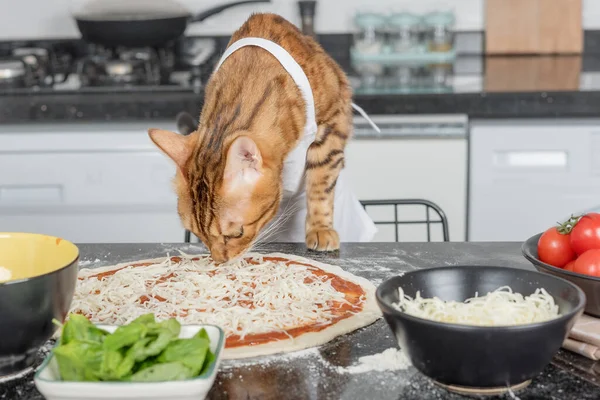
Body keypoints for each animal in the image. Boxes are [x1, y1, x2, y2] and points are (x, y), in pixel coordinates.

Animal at [149, 13, 376, 262]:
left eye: (236, 234)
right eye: (197, 234)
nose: (220, 261)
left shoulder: (333, 122)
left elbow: (320, 186)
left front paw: (320, 229)